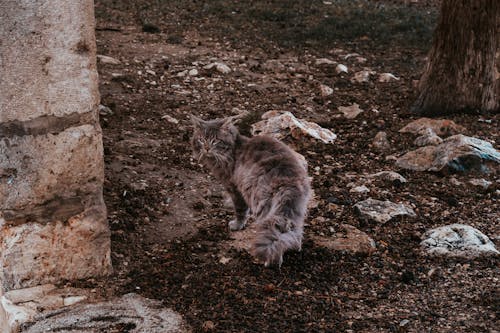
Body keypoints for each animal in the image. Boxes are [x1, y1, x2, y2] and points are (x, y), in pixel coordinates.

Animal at [190, 115, 310, 266]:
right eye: (201, 139)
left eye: (215, 140)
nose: (206, 148)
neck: (233, 149)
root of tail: (288, 181)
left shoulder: (234, 188)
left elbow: (240, 211)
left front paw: (237, 225)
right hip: (296, 210)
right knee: (294, 232)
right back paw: (295, 248)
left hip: (262, 203)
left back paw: (270, 262)